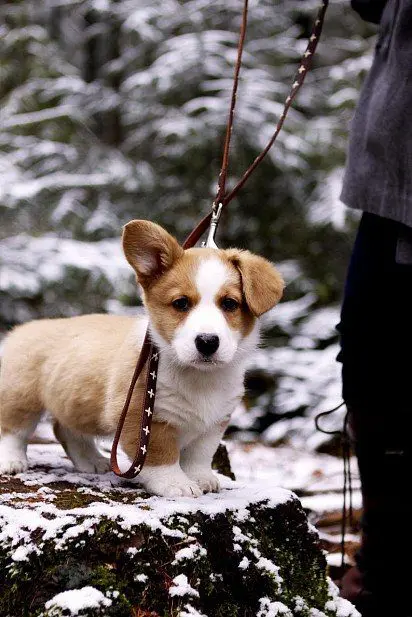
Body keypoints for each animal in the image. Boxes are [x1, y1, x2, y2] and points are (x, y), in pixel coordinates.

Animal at [0, 220, 284, 496]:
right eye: (181, 303)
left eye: (229, 304)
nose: (207, 342)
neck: (200, 378)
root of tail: (21, 330)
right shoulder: (142, 418)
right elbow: (161, 456)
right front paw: (176, 484)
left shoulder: (215, 423)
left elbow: (200, 455)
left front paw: (202, 478)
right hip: (21, 397)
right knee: (13, 430)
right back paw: (12, 461)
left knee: (66, 430)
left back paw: (92, 460)